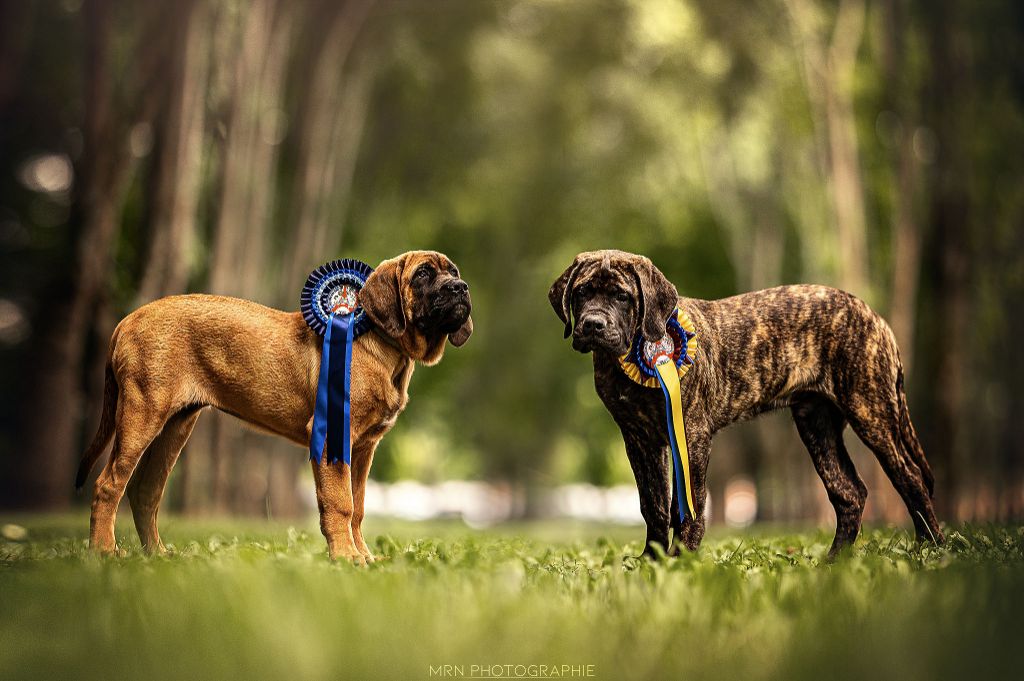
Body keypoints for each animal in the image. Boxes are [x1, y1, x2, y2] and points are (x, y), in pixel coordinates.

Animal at [75, 249, 471, 557]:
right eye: (422, 274)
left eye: (453, 272)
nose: (460, 288)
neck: (383, 345)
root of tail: (127, 321)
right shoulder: (334, 440)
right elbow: (340, 504)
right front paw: (346, 557)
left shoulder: (363, 450)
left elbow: (358, 507)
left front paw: (365, 558)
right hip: (142, 416)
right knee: (109, 485)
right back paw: (104, 551)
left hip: (175, 428)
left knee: (144, 491)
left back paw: (157, 554)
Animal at [552, 249, 942, 557]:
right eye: (582, 292)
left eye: (622, 296)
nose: (592, 324)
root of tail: (874, 316)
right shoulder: (639, 439)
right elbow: (654, 505)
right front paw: (652, 562)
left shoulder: (690, 434)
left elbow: (690, 505)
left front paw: (681, 560)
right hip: (818, 424)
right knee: (850, 493)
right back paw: (834, 563)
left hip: (870, 411)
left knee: (909, 478)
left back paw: (929, 549)